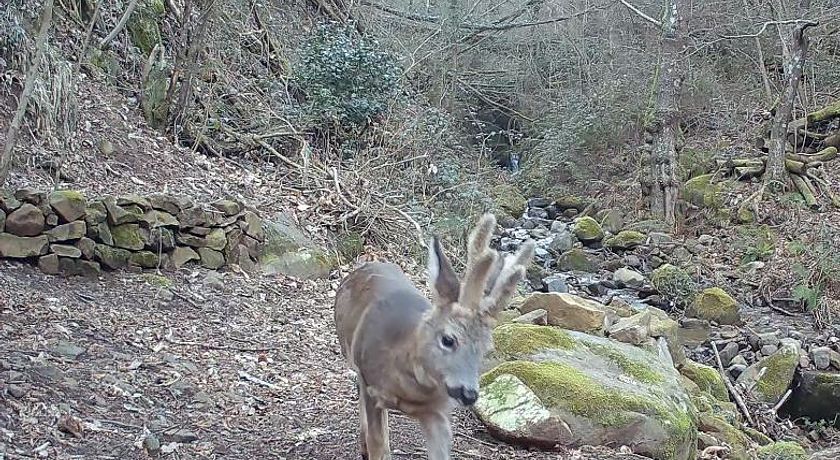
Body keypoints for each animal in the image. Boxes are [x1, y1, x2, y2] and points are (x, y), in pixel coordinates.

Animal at [334, 214, 536, 458]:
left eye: (486, 350)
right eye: (448, 339)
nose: (469, 394)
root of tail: (369, 263)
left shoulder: (437, 410)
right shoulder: (370, 384)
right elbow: (378, 444)